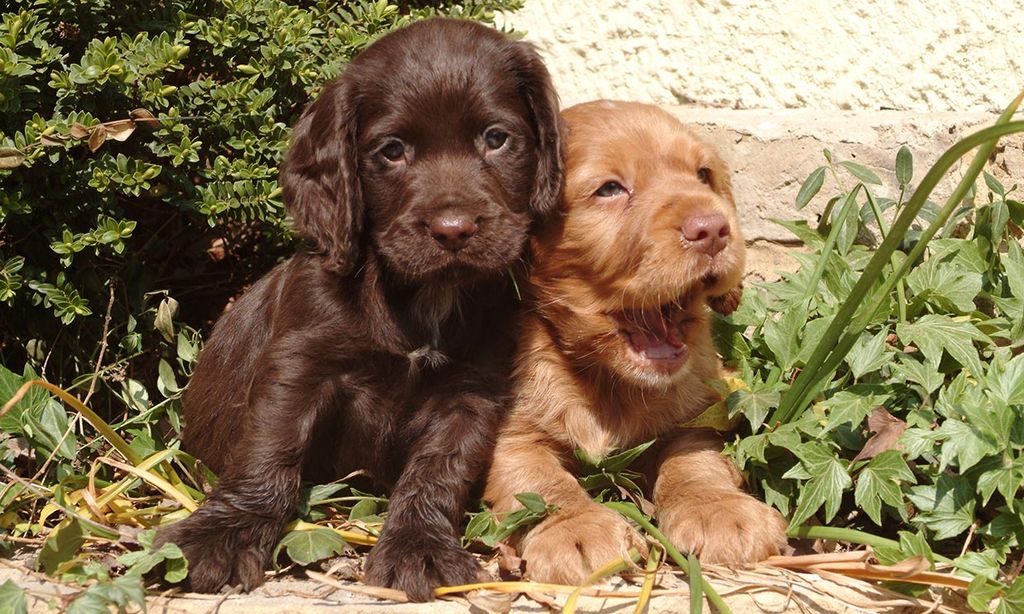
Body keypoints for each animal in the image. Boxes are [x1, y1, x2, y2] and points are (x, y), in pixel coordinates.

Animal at [483, 101, 786, 585]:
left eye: (703, 175)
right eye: (610, 188)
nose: (713, 229)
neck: (611, 382)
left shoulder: (699, 413)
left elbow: (694, 461)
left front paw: (717, 510)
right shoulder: (510, 436)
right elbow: (538, 482)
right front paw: (577, 529)